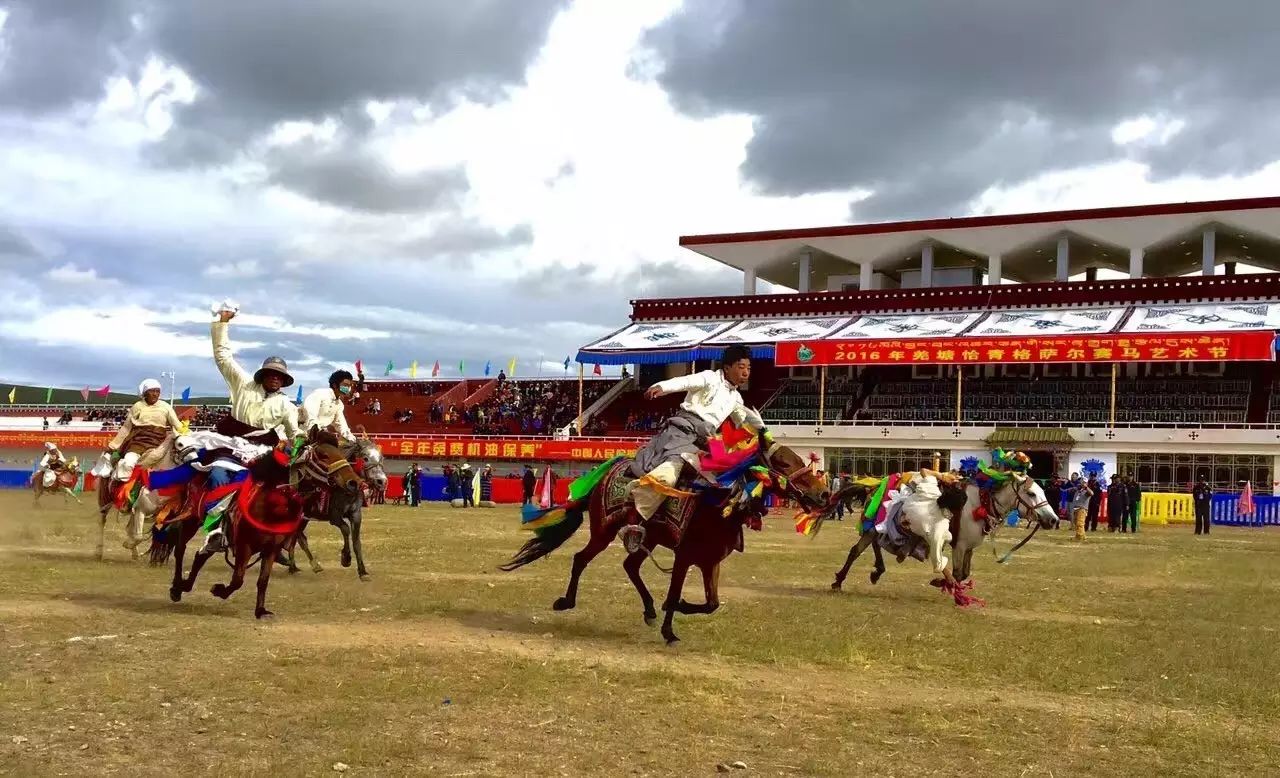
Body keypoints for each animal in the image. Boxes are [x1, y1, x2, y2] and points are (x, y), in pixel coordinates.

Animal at [151, 437, 360, 619]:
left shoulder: (271, 549)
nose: (354, 482)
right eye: (323, 455)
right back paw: (177, 588)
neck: (270, 506)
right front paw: (219, 590)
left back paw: (185, 585)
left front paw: (260, 610)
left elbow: (263, 580)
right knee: (180, 550)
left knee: (201, 555)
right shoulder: (245, 546)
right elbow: (238, 579)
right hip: (191, 520)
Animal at [499, 437, 829, 644]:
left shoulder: (709, 561)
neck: (719, 507)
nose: (823, 494)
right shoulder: (685, 556)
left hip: (650, 538)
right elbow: (676, 592)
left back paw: (648, 610)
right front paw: (670, 628)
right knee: (582, 559)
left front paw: (678, 608)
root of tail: (605, 472)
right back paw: (566, 601)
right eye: (783, 464)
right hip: (604, 531)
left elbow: (712, 603)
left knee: (630, 565)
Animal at [829, 470, 1059, 603]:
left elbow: (964, 573)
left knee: (871, 545)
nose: (1053, 520)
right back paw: (839, 581)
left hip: (877, 528)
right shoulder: (959, 544)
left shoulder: (969, 548)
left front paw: (945, 584)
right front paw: (949, 589)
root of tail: (874, 486)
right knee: (856, 550)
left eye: (1042, 491)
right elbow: (956, 573)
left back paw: (875, 571)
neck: (979, 504)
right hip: (872, 527)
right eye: (1031, 493)